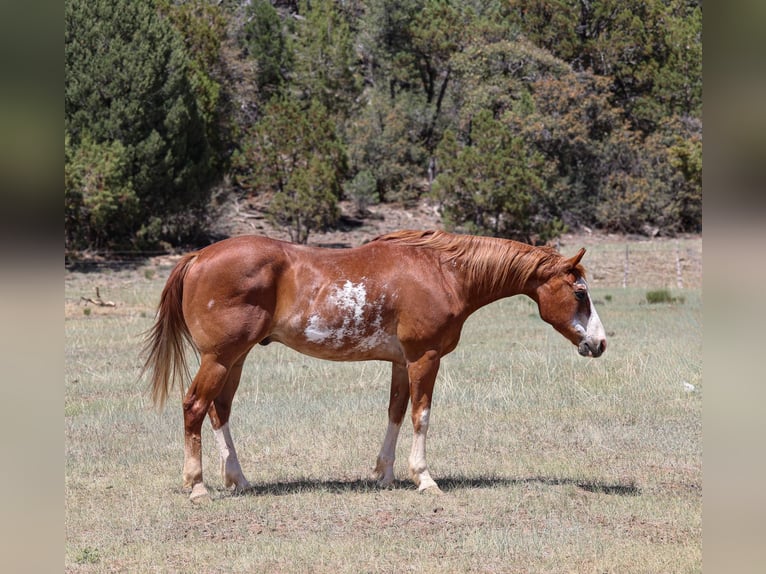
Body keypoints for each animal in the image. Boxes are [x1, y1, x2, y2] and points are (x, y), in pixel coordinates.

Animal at [142, 230, 606, 502]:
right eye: (580, 293)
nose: (599, 343)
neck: (443, 272)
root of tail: (198, 256)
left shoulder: (402, 362)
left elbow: (396, 412)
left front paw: (384, 473)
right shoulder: (424, 358)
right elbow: (421, 415)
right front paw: (424, 478)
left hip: (235, 359)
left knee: (219, 411)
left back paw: (237, 480)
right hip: (220, 358)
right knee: (194, 407)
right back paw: (198, 486)